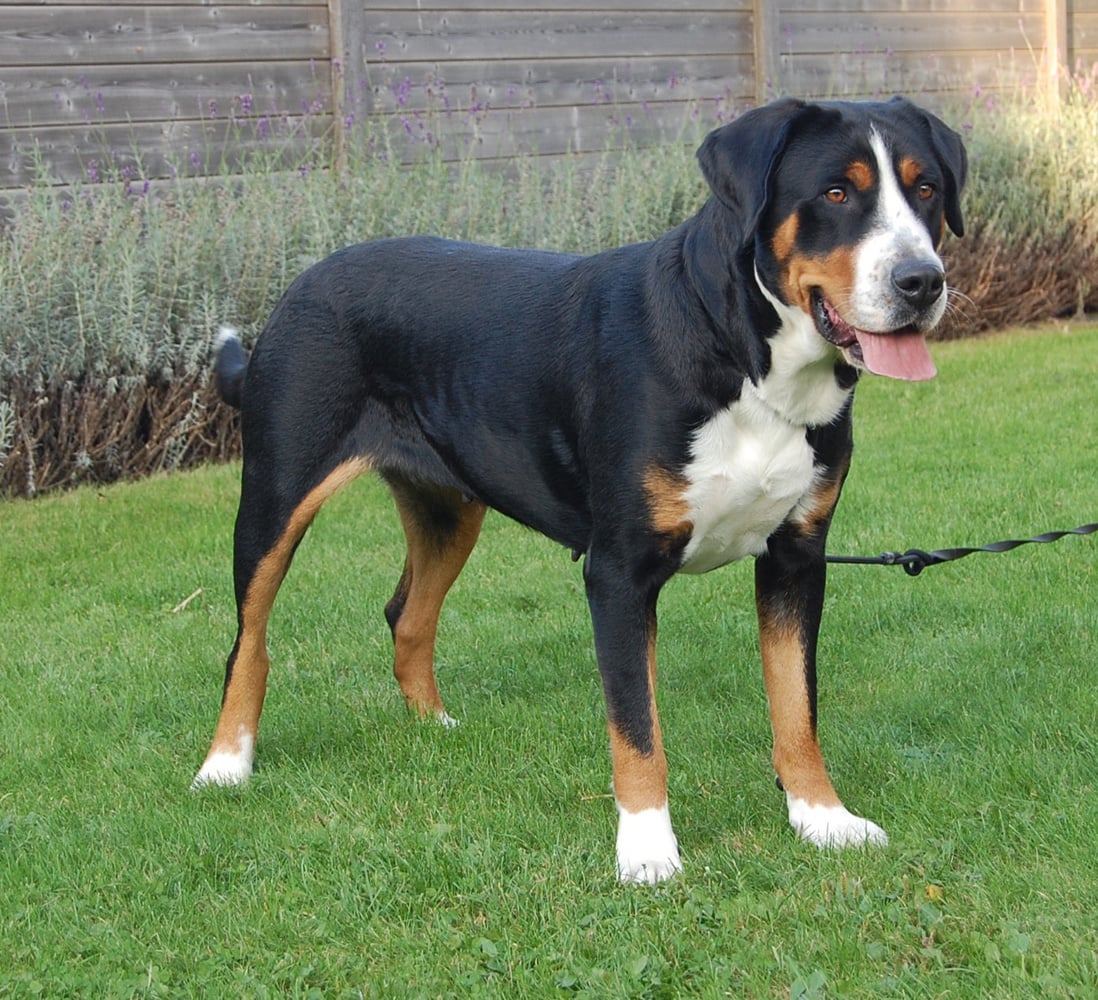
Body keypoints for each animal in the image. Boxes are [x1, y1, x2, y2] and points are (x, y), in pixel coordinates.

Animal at [193, 96, 966, 884]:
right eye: (836, 193)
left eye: (926, 189)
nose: (921, 281)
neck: (747, 364)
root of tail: (306, 279)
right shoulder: (620, 571)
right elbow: (638, 726)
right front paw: (648, 850)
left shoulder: (795, 558)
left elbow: (796, 705)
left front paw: (822, 817)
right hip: (276, 496)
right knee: (248, 640)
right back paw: (225, 765)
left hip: (449, 509)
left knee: (407, 614)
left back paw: (435, 728)